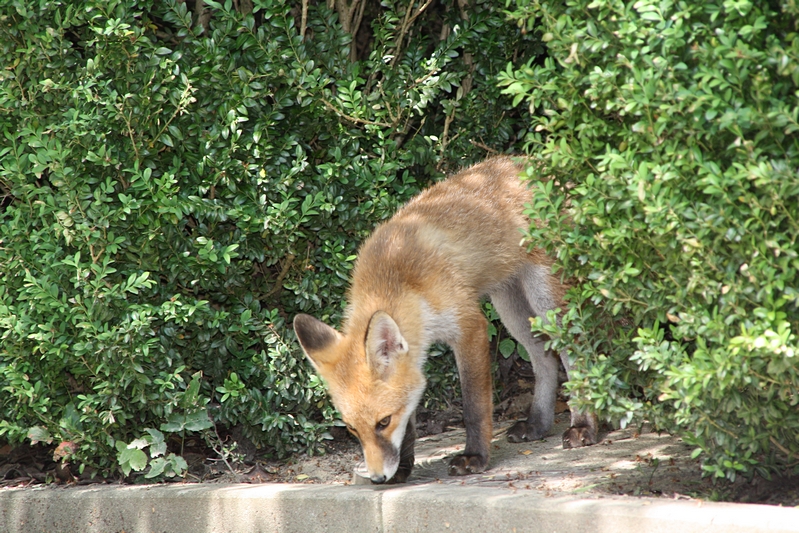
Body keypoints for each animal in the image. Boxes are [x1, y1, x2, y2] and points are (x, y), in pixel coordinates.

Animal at [293, 156, 597, 484]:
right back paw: (538, 424)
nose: (377, 479)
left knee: (573, 352)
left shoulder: (470, 326)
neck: (397, 278)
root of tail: (536, 162)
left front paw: (475, 456)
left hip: (544, 297)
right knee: (545, 358)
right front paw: (403, 467)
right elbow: (411, 417)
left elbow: (474, 407)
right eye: (352, 428)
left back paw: (584, 425)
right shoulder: (415, 350)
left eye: (383, 421)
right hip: (510, 308)